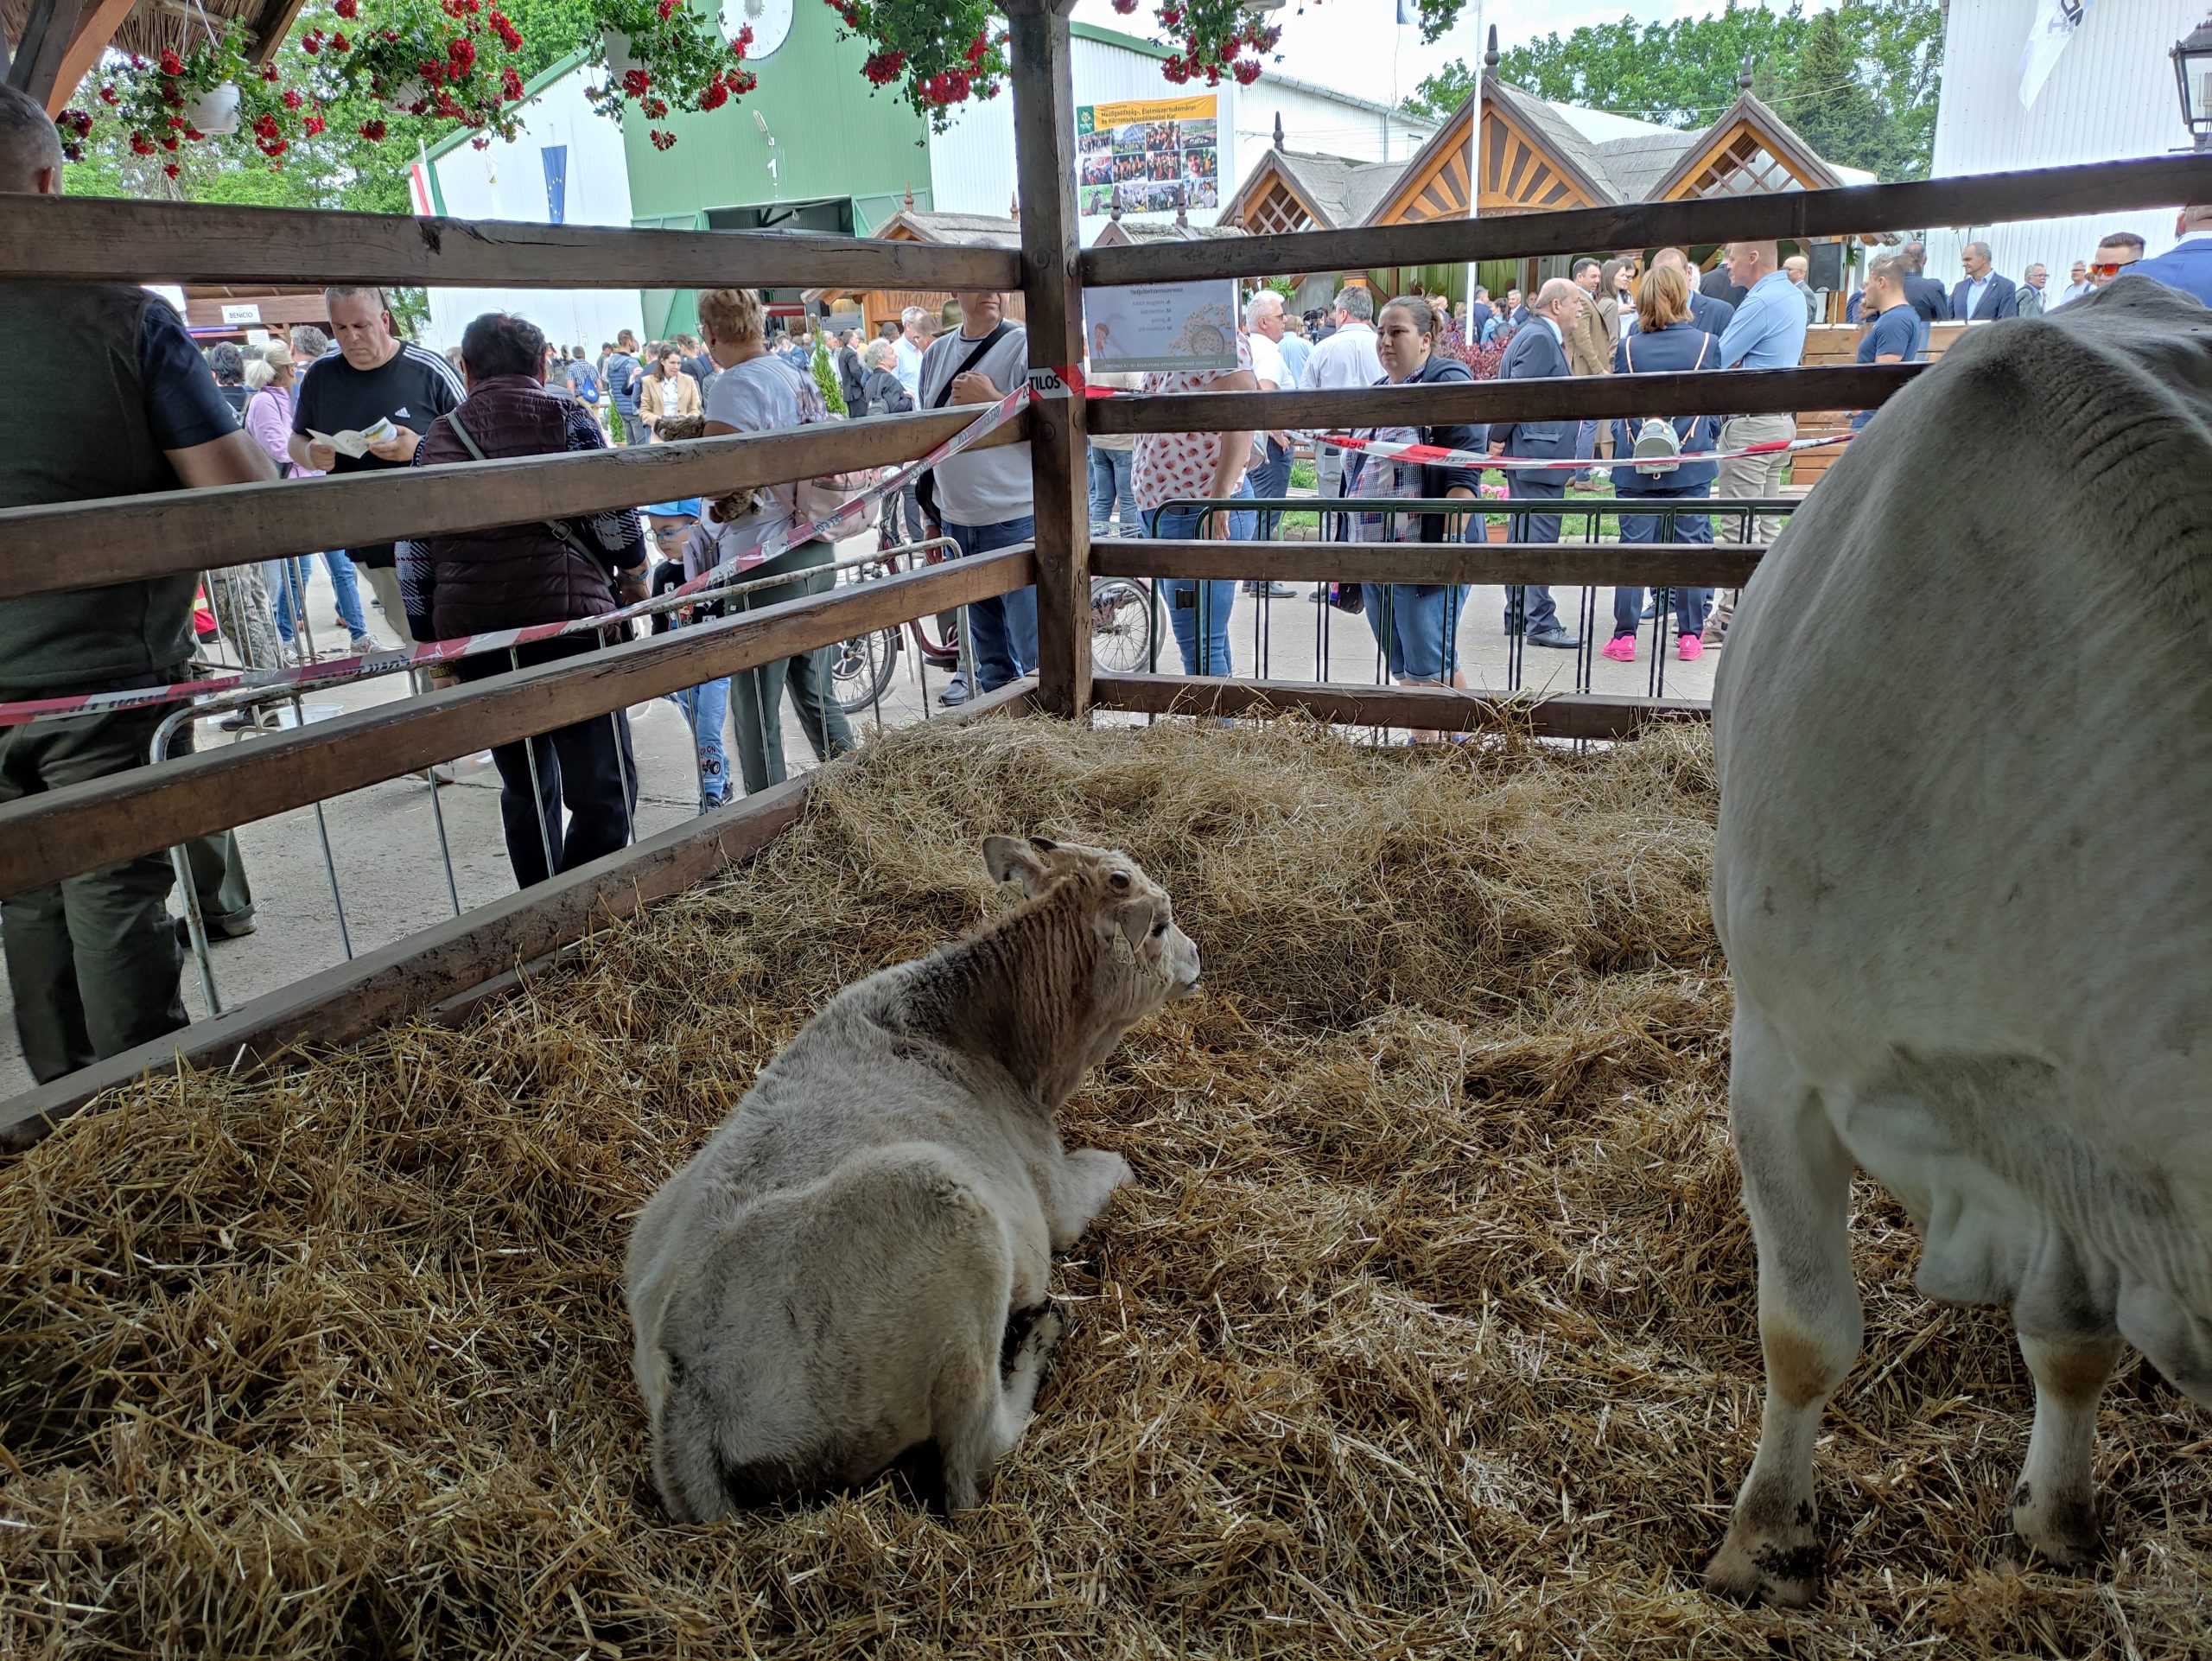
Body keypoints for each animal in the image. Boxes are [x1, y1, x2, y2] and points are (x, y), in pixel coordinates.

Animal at [632, 836, 1203, 1531]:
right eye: (1162, 924)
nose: (1197, 959)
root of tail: (686, 1393)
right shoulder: (1057, 1199)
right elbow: (1117, 1165)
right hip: (951, 1210)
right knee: (973, 1459)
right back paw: (1038, 1336)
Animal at [1699, 279, 2202, 1601]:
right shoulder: (1776, 1054)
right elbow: (1805, 1329)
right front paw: (1762, 1538)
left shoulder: (2087, 1156)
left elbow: (2072, 1346)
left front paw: (2055, 1517)